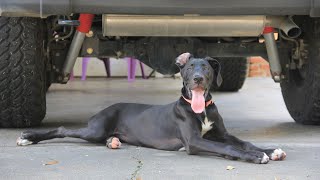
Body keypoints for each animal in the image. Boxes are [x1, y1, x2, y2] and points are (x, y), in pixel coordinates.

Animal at [16, 52, 286, 164]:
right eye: (189, 68)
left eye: (207, 68)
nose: (198, 79)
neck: (201, 109)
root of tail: (104, 109)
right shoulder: (194, 141)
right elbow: (228, 147)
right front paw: (255, 156)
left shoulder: (220, 134)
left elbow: (242, 142)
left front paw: (269, 150)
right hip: (94, 129)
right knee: (63, 129)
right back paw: (28, 137)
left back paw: (113, 142)